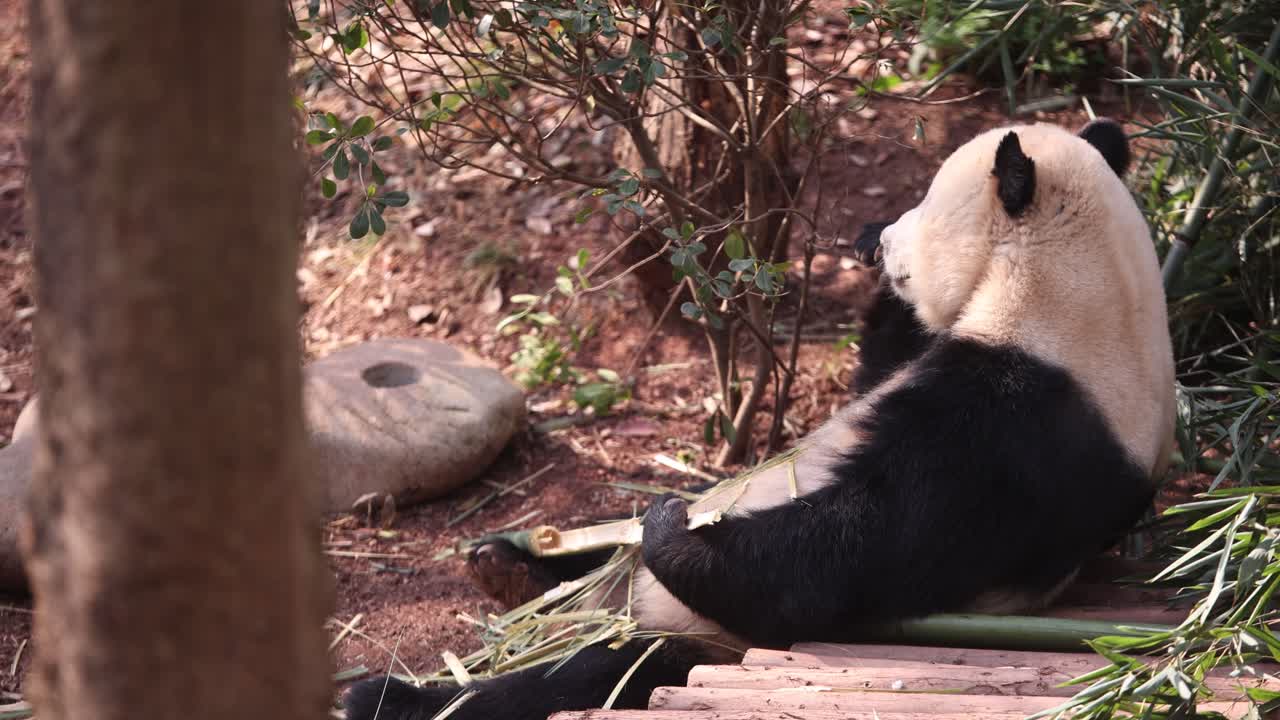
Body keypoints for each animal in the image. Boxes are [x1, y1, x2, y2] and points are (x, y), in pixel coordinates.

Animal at [344, 118, 1176, 720]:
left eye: (924, 207)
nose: (884, 241)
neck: (1077, 298)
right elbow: (873, 377)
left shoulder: (1022, 427)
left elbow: (857, 545)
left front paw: (674, 531)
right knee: (591, 567)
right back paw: (512, 566)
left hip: (690, 637)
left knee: (589, 673)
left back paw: (393, 696)